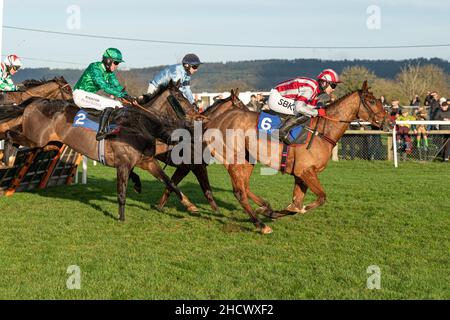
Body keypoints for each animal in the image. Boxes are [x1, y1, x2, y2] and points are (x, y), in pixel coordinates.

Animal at [202, 81, 388, 234]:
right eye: (372, 101)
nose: (386, 120)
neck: (322, 131)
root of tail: (212, 121)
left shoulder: (301, 174)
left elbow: (295, 204)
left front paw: (275, 212)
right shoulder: (305, 171)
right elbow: (320, 198)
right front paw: (298, 209)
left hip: (248, 160)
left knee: (244, 187)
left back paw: (264, 208)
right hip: (235, 159)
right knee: (239, 192)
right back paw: (261, 225)